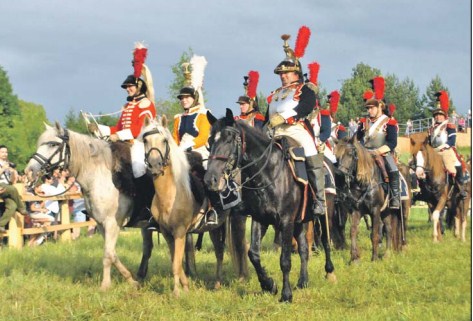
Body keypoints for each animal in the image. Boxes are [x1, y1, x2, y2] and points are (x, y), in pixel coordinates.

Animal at [25, 122, 138, 290]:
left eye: (53, 144)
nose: (29, 171)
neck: (101, 176)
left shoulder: (111, 222)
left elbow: (107, 254)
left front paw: (105, 285)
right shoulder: (102, 224)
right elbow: (112, 253)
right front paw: (130, 279)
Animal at [136, 115, 247, 296]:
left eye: (164, 140)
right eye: (145, 140)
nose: (154, 165)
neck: (170, 194)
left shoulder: (180, 232)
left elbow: (176, 264)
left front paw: (177, 292)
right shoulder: (167, 233)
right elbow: (176, 261)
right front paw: (186, 287)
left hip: (234, 221)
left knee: (236, 247)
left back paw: (236, 279)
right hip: (214, 227)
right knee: (219, 251)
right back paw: (217, 283)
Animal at [204, 109, 336, 302]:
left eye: (229, 139)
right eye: (210, 142)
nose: (210, 179)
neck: (268, 174)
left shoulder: (286, 221)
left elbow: (285, 260)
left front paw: (286, 294)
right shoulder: (261, 219)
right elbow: (253, 254)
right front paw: (269, 285)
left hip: (324, 214)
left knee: (326, 241)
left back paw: (329, 272)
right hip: (300, 221)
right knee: (304, 248)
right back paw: (303, 281)